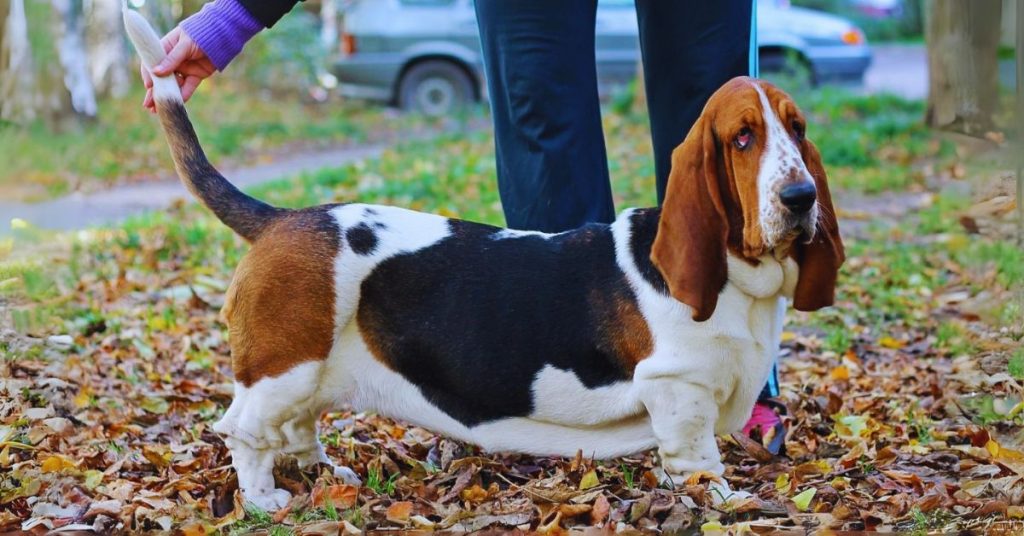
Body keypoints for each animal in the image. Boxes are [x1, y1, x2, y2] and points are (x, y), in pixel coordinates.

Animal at [128, 9, 843, 512]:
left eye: (798, 129)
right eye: (743, 138)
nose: (800, 197)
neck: (741, 280)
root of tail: (282, 218)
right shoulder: (679, 390)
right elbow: (698, 461)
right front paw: (726, 500)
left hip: (307, 375)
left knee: (296, 427)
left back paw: (318, 470)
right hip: (285, 366)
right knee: (243, 430)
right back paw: (263, 497)